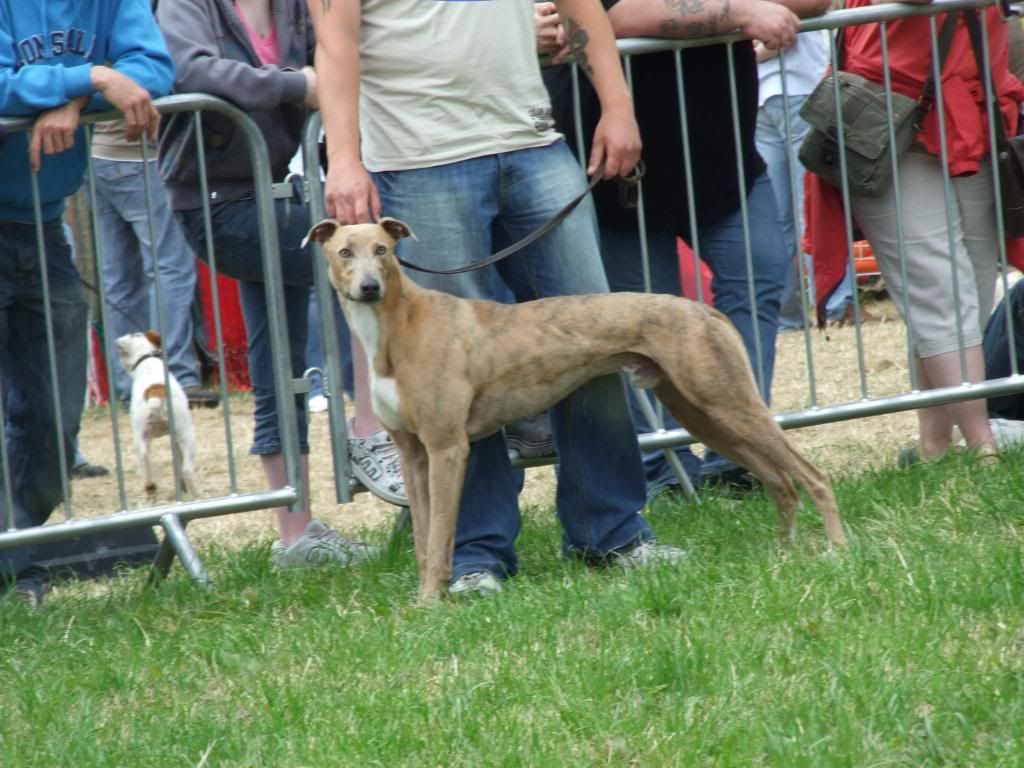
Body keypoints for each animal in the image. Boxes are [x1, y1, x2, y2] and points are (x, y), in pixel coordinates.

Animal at [116, 331, 199, 501]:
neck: (147, 361)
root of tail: (154, 392)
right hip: (188, 435)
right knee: (187, 470)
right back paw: (197, 496)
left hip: (141, 438)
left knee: (146, 465)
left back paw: (151, 490)